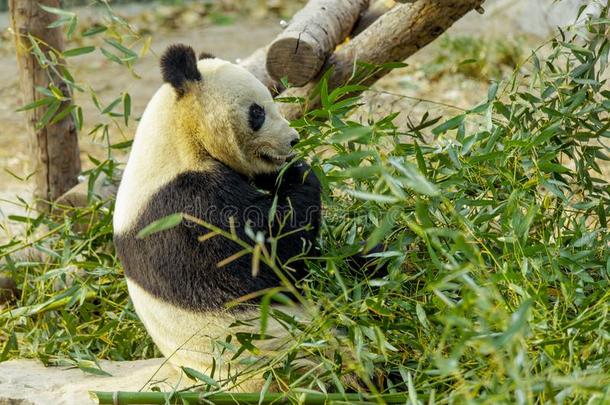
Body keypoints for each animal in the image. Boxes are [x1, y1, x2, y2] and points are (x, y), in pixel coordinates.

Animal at [115, 43, 324, 388]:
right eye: (257, 112)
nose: (293, 139)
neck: (178, 141)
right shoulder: (186, 207)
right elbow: (270, 250)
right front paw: (299, 173)